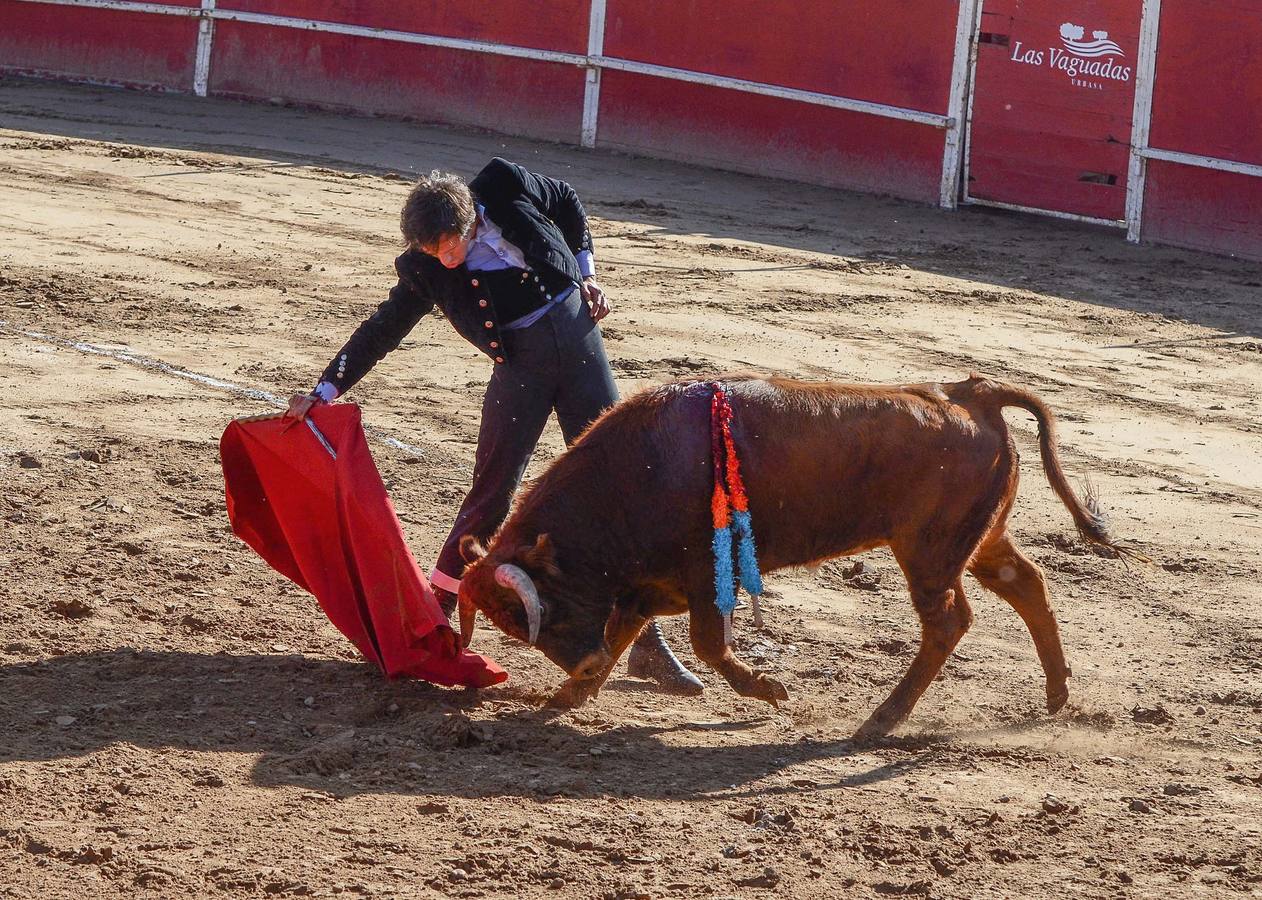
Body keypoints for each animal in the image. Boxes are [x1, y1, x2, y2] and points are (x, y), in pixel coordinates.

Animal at [456, 373, 1135, 737]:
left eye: (537, 609)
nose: (584, 659)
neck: (636, 470)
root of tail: (971, 395)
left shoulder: (703, 575)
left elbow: (709, 643)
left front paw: (769, 690)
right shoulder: (648, 585)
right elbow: (628, 630)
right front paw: (567, 697)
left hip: (930, 552)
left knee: (949, 621)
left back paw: (882, 719)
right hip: (980, 540)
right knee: (1027, 583)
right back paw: (1056, 694)